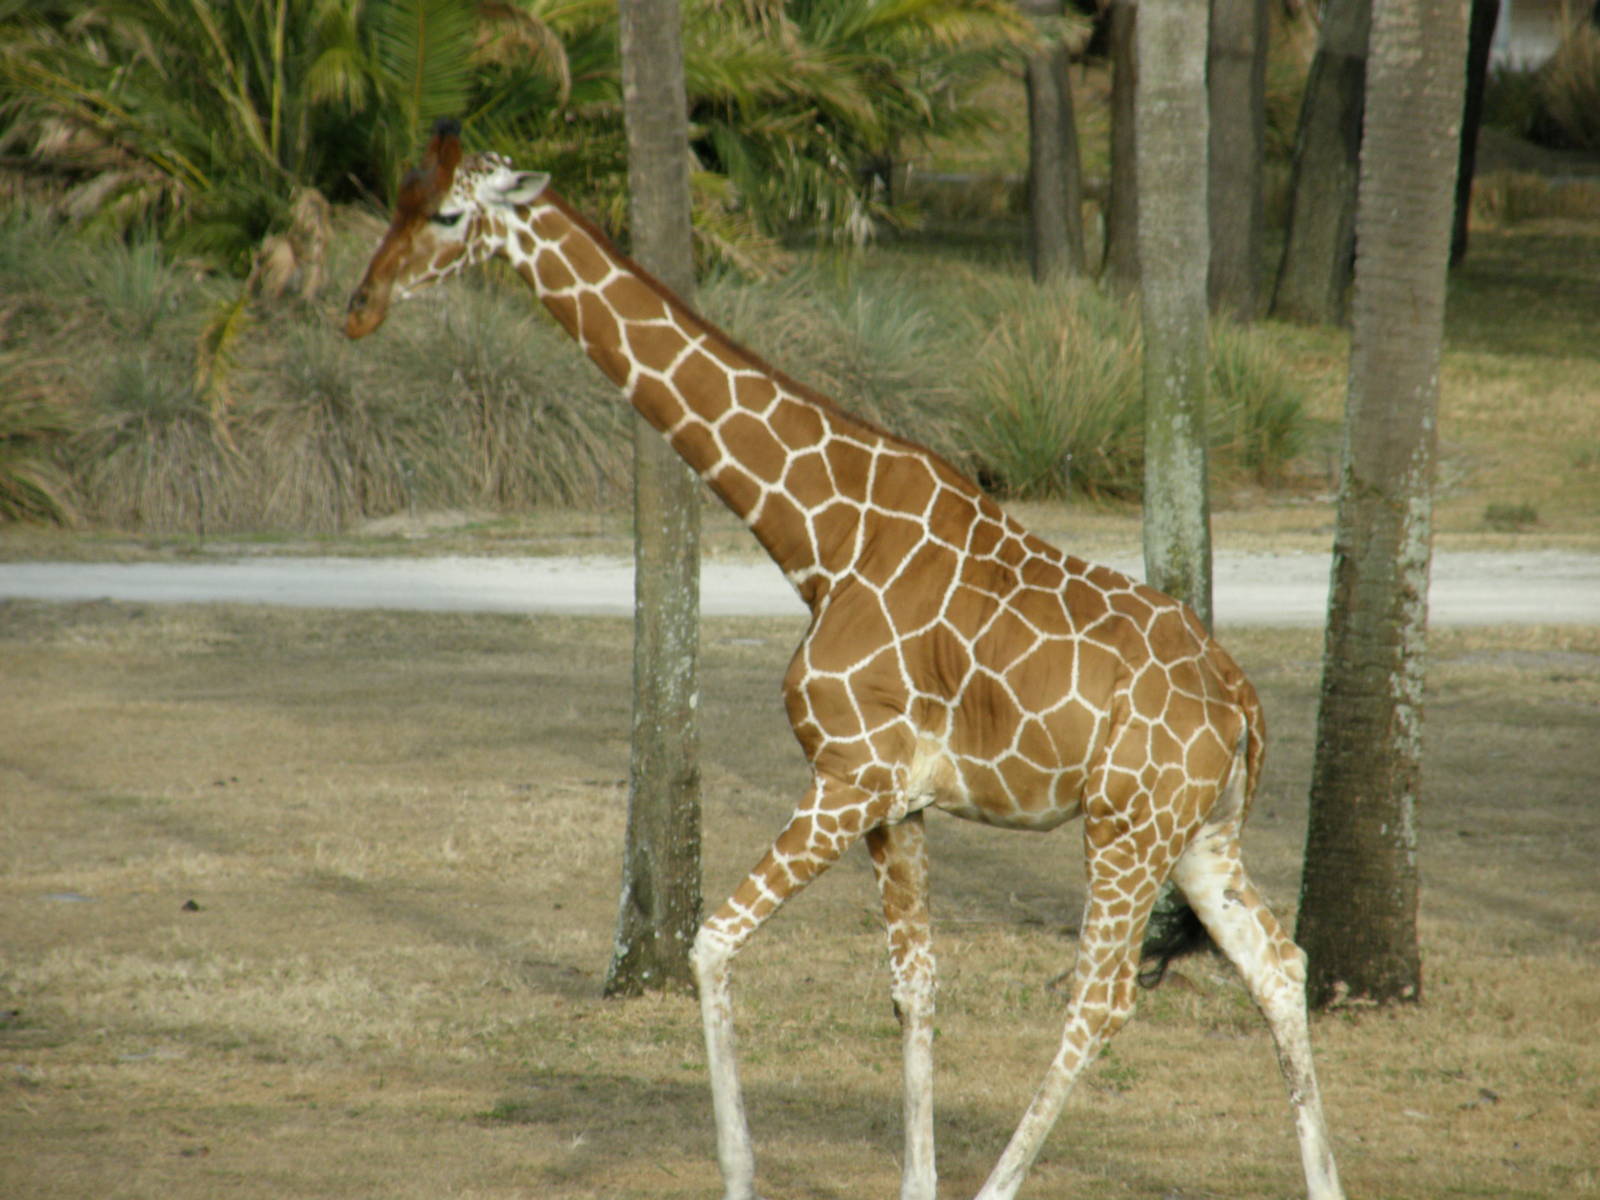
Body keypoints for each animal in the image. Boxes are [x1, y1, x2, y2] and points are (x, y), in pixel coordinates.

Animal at [344, 120, 1344, 1200]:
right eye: (397, 198)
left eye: (448, 214)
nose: (358, 307)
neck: (821, 540)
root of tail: (1244, 701)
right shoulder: (896, 801)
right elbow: (912, 986)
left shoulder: (848, 774)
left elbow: (709, 945)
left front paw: (742, 1174)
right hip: (1200, 833)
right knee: (1277, 964)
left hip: (1126, 826)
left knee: (1104, 998)